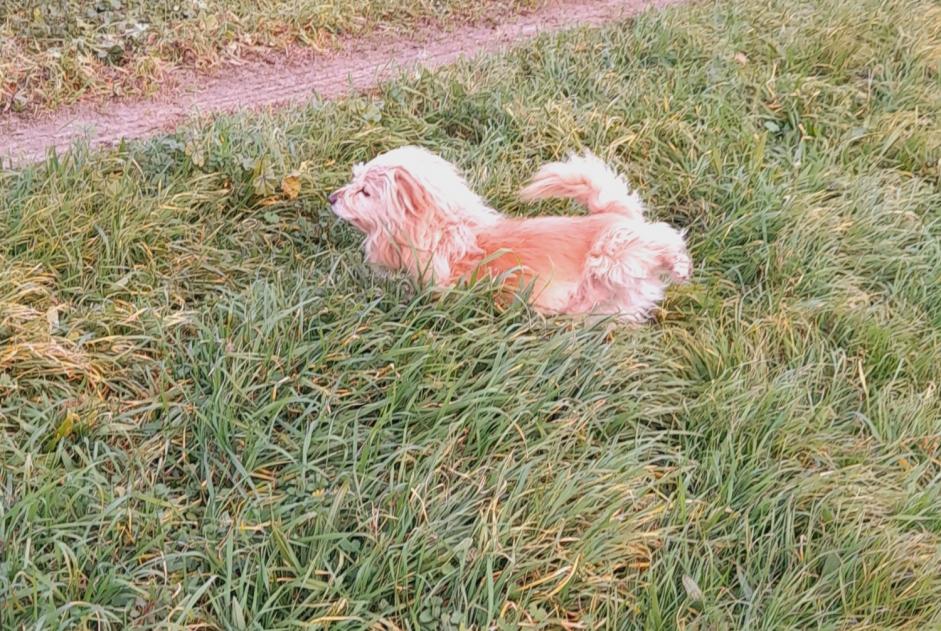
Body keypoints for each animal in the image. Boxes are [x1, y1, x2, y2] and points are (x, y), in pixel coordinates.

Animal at [330, 146, 692, 324]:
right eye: (354, 181)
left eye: (364, 192)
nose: (331, 197)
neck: (442, 231)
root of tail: (614, 214)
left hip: (612, 254)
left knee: (662, 238)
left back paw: (679, 264)